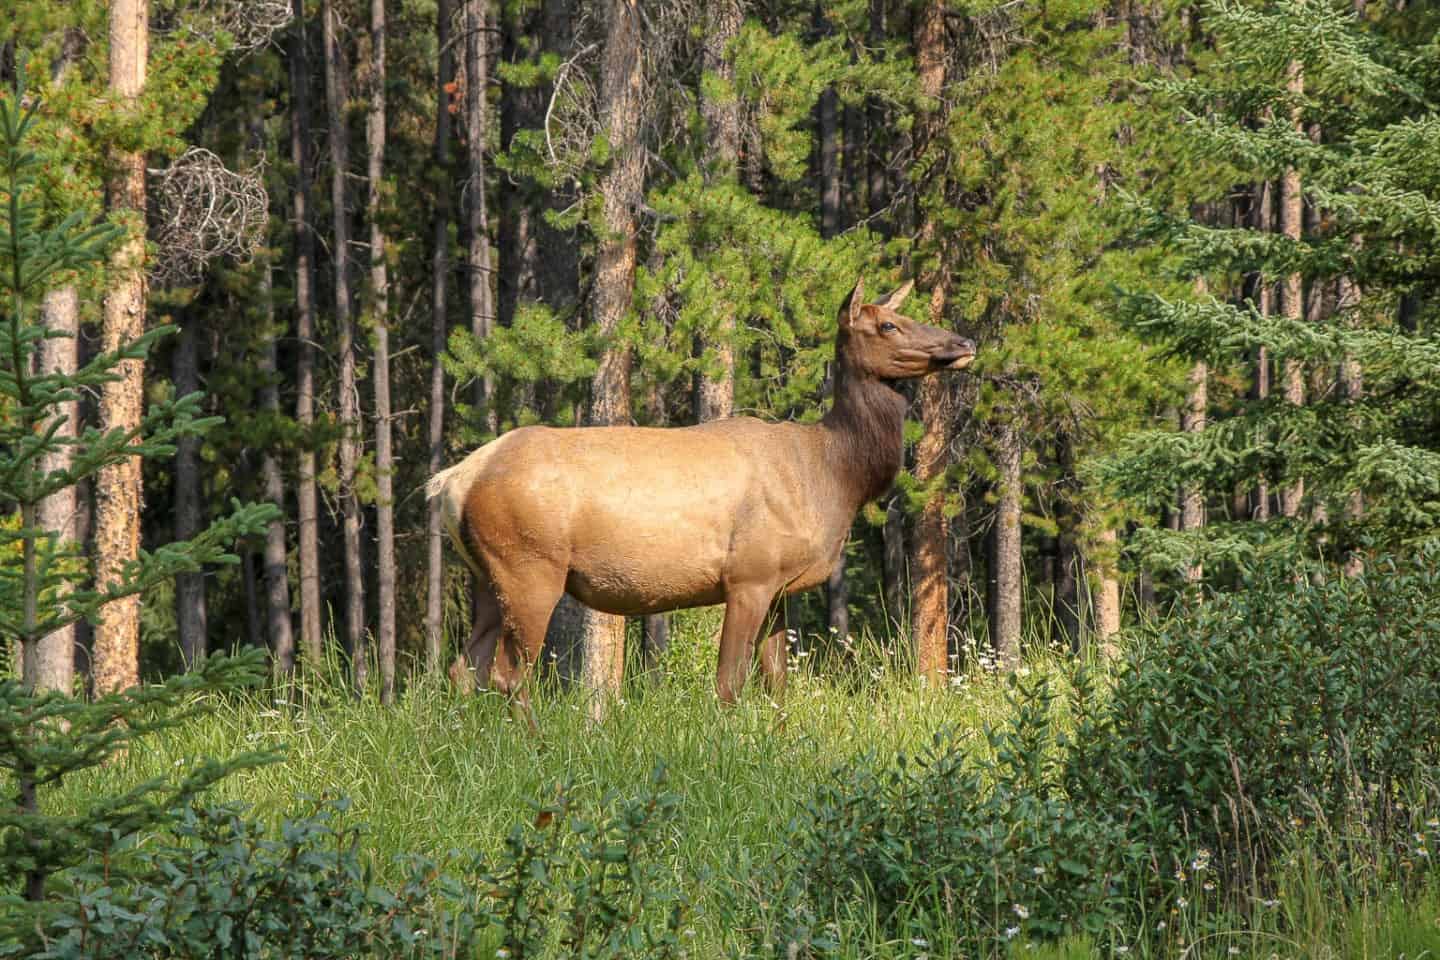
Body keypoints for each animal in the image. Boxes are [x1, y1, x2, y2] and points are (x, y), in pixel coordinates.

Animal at [420, 276, 973, 713]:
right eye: (888, 326)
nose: (964, 340)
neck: (833, 477)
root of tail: (452, 480)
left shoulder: (778, 589)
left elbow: (778, 685)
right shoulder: (749, 574)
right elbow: (729, 684)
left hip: (486, 575)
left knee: (464, 670)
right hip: (530, 566)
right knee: (509, 673)